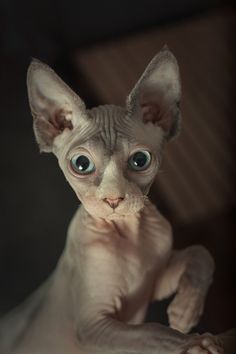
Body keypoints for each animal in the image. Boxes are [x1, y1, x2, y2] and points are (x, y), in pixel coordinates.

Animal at [0, 47, 230, 354]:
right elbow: (151, 333)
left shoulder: (154, 282)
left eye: (140, 160)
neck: (130, 236)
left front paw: (185, 311)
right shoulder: (93, 327)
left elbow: (200, 253)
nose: (113, 199)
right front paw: (192, 343)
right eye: (81, 164)